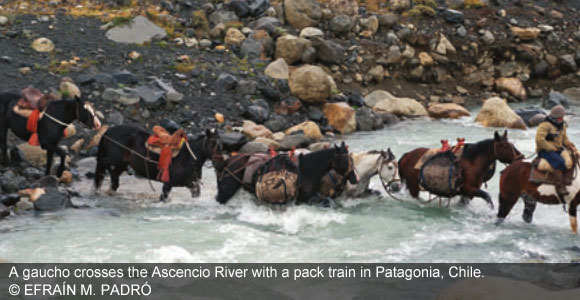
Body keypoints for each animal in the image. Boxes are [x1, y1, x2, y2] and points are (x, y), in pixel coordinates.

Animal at [94, 124, 223, 202]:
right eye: (212, 143)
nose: (220, 162)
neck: (188, 157)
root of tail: (109, 131)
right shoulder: (168, 184)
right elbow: (163, 198)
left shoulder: (193, 185)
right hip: (114, 159)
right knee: (102, 164)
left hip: (122, 163)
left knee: (113, 174)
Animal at [215, 142, 356, 205]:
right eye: (345, 160)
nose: (355, 179)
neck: (308, 169)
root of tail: (226, 162)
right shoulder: (304, 199)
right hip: (226, 191)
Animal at [396, 131, 524, 209]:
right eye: (504, 146)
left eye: (511, 143)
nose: (520, 157)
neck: (472, 163)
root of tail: (407, 155)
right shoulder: (469, 189)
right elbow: (487, 197)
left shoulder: (467, 193)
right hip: (413, 186)